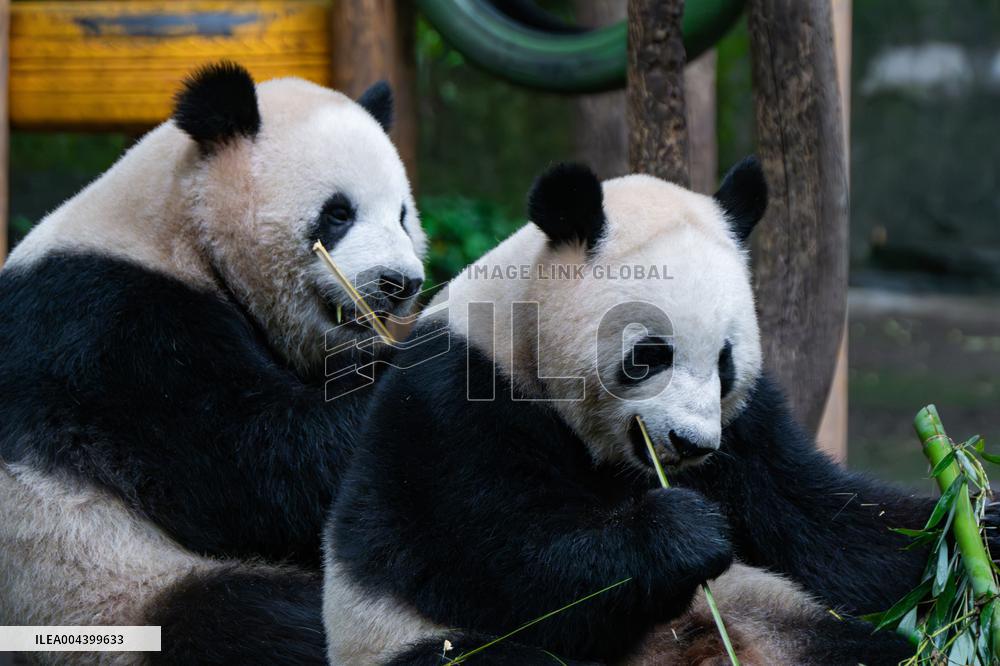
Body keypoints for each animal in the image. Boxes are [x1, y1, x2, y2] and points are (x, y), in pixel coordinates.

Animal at [0, 62, 425, 663]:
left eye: (403, 215)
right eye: (339, 213)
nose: (400, 283)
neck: (178, 226)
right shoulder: (114, 337)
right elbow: (269, 462)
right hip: (100, 590)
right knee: (244, 623)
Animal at [323, 158, 997, 665]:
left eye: (725, 364)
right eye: (648, 355)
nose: (692, 443)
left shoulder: (747, 429)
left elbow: (829, 528)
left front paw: (974, 529)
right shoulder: (452, 404)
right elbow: (505, 562)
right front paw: (688, 531)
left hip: (783, 622)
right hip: (397, 640)